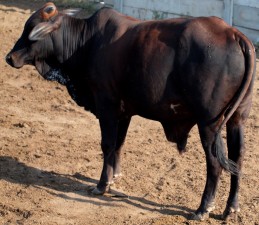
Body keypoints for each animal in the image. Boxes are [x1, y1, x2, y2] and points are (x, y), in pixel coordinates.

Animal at [5, 2, 256, 221]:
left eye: (31, 31)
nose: (9, 57)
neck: (87, 42)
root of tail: (234, 34)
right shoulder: (124, 111)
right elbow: (119, 143)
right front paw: (114, 176)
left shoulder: (106, 105)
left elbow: (107, 144)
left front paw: (102, 184)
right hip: (236, 120)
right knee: (237, 158)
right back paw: (231, 207)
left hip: (209, 125)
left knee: (215, 163)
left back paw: (203, 208)